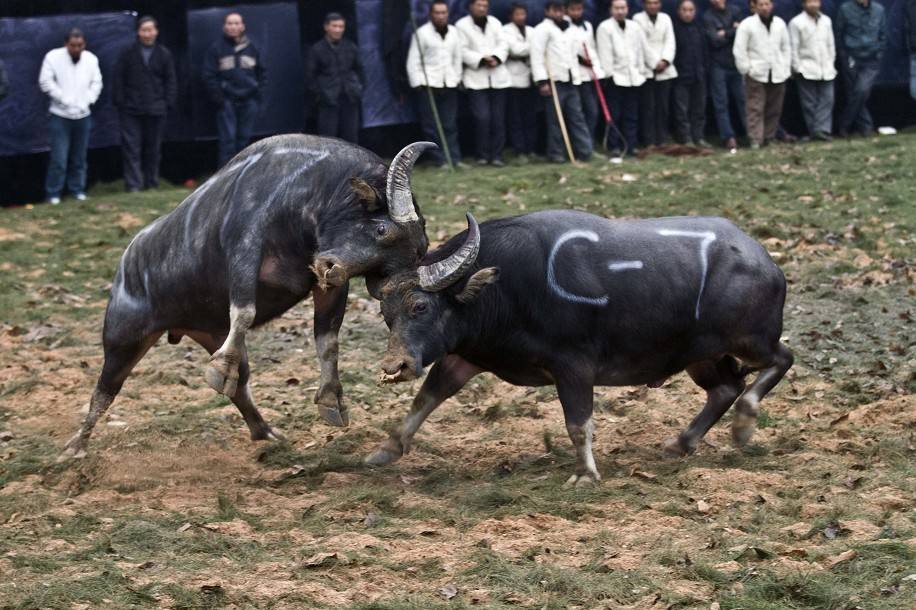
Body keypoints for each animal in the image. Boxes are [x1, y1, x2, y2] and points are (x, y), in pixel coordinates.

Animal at [58, 132, 436, 456]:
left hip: (209, 333)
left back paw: (264, 431)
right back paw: (75, 446)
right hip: (122, 339)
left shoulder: (328, 287)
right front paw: (218, 370)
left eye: (401, 259)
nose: (331, 268)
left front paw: (332, 401)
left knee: (240, 385)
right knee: (104, 391)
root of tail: (127, 261)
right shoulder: (245, 248)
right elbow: (244, 311)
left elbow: (328, 340)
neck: (308, 192)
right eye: (382, 229)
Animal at [368, 209, 792, 484]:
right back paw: (682, 442)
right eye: (386, 313)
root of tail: (765, 261)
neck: (504, 290)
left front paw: (586, 474)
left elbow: (578, 422)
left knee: (781, 360)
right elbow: (426, 398)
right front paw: (387, 449)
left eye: (421, 306)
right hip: (700, 355)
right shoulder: (463, 357)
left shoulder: (573, 366)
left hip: (750, 339)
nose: (395, 366)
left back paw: (743, 424)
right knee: (725, 388)